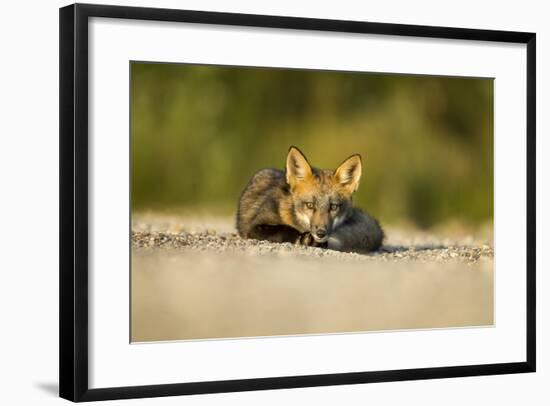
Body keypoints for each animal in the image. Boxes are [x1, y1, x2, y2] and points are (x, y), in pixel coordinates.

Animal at [236, 146, 384, 254]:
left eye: (333, 207)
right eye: (310, 205)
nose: (321, 233)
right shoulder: (255, 226)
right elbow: (284, 229)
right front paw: (303, 238)